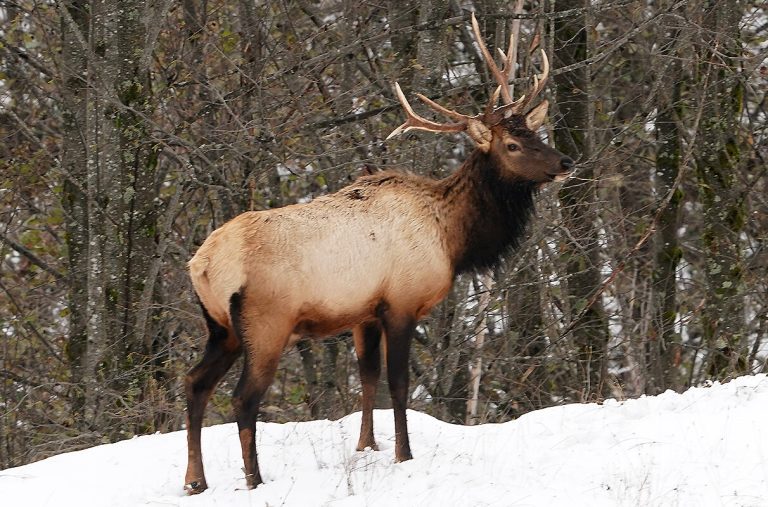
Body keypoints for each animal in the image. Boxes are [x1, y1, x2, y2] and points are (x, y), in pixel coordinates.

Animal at [183, 12, 572, 496]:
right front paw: (404, 454)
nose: (565, 163)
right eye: (513, 145)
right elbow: (398, 383)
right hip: (265, 322)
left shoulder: (363, 313)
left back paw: (195, 481)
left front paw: (367, 446)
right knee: (243, 398)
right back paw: (254, 479)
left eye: (534, 131)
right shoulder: (401, 302)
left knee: (194, 384)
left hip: (220, 328)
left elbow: (367, 379)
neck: (452, 239)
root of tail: (202, 265)